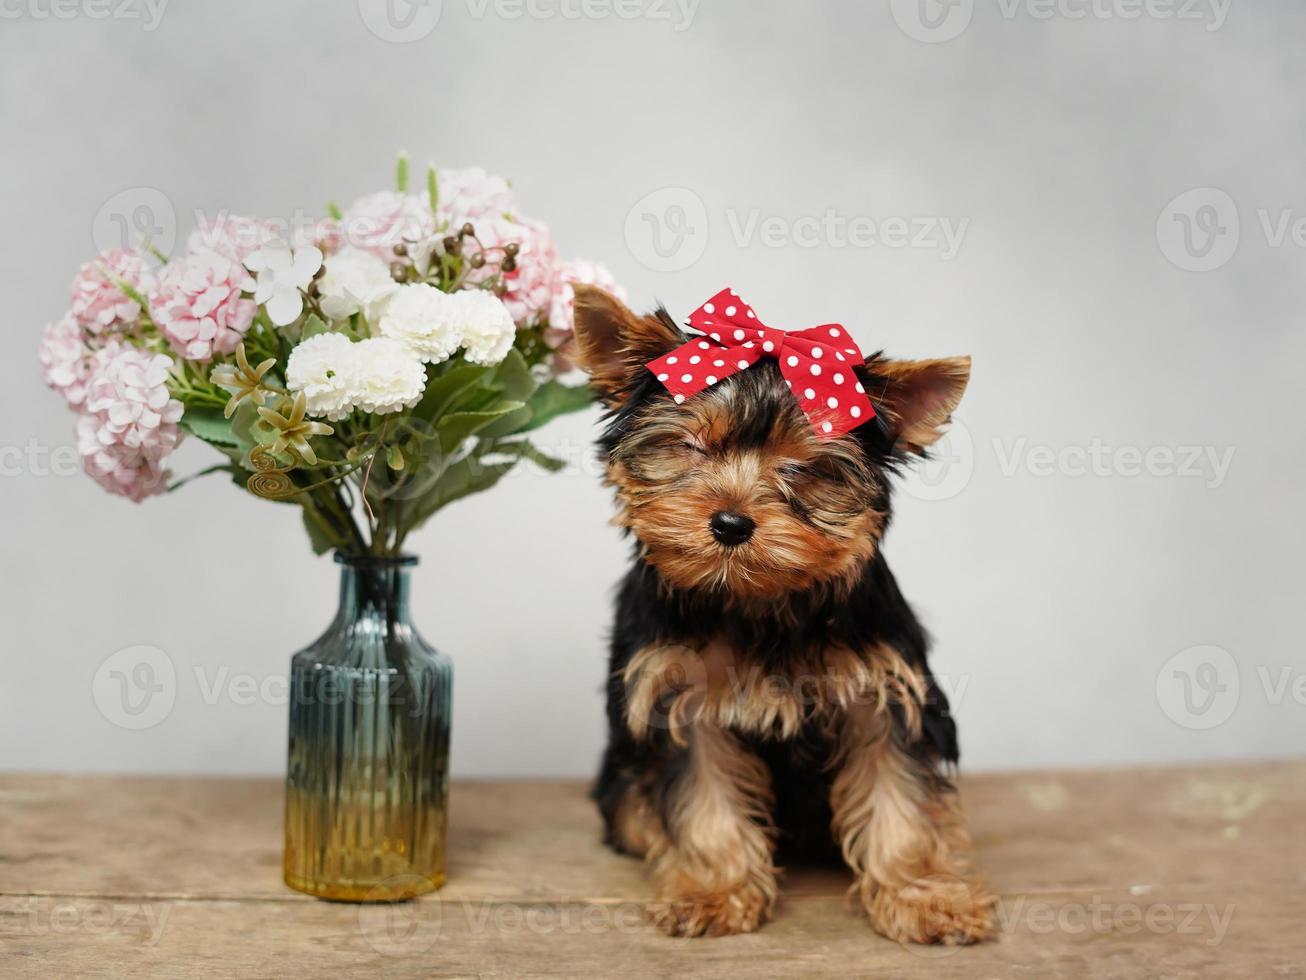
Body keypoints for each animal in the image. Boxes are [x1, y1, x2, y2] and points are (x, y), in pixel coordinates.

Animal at [577, 283, 992, 946]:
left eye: (805, 468)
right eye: (691, 446)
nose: (730, 522)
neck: (758, 600)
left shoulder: (882, 689)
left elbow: (899, 794)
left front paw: (924, 895)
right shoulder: (681, 696)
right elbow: (704, 795)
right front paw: (714, 891)